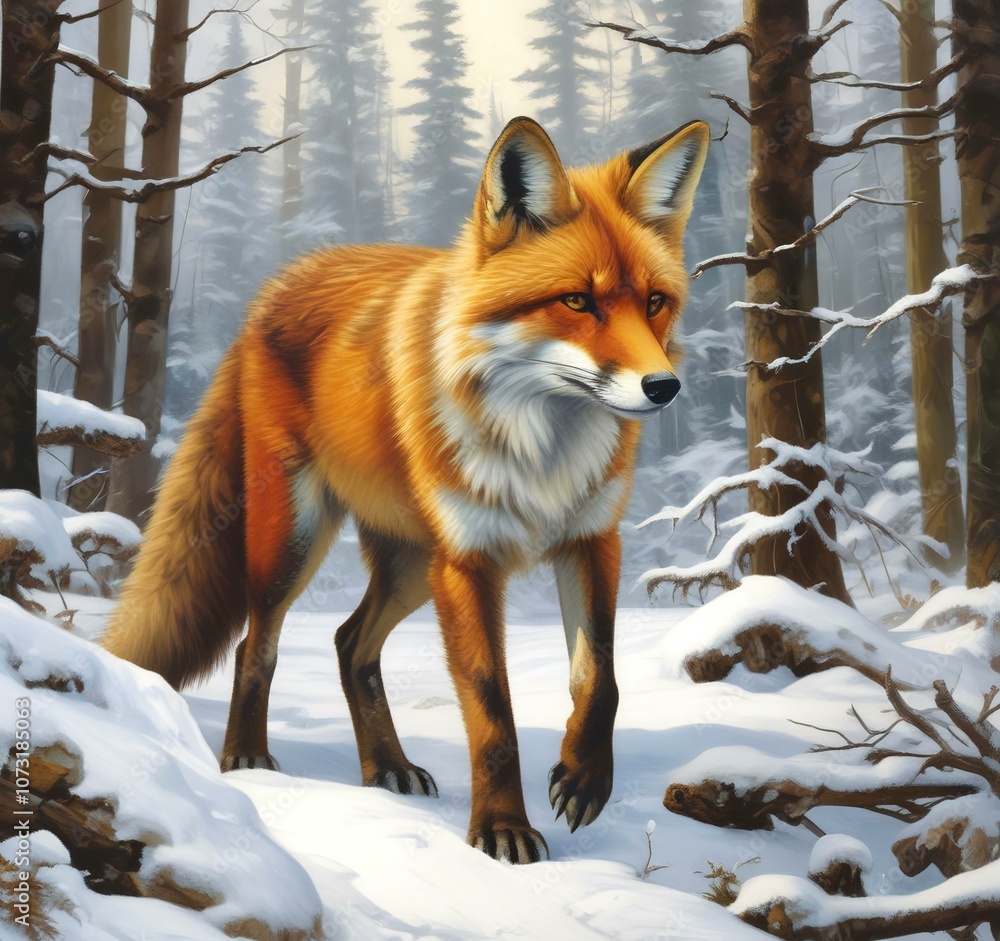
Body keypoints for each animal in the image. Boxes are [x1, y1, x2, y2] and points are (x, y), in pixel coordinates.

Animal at [102, 116, 709, 864]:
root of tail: (278, 284)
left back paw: (385, 767)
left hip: (414, 565)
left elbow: (600, 680)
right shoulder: (470, 562)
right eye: (577, 301)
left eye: (653, 302)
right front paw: (502, 830)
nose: (665, 388)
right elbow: (492, 710)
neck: (542, 453)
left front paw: (583, 777)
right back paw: (246, 758)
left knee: (348, 643)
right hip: (299, 541)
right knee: (256, 645)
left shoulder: (592, 539)